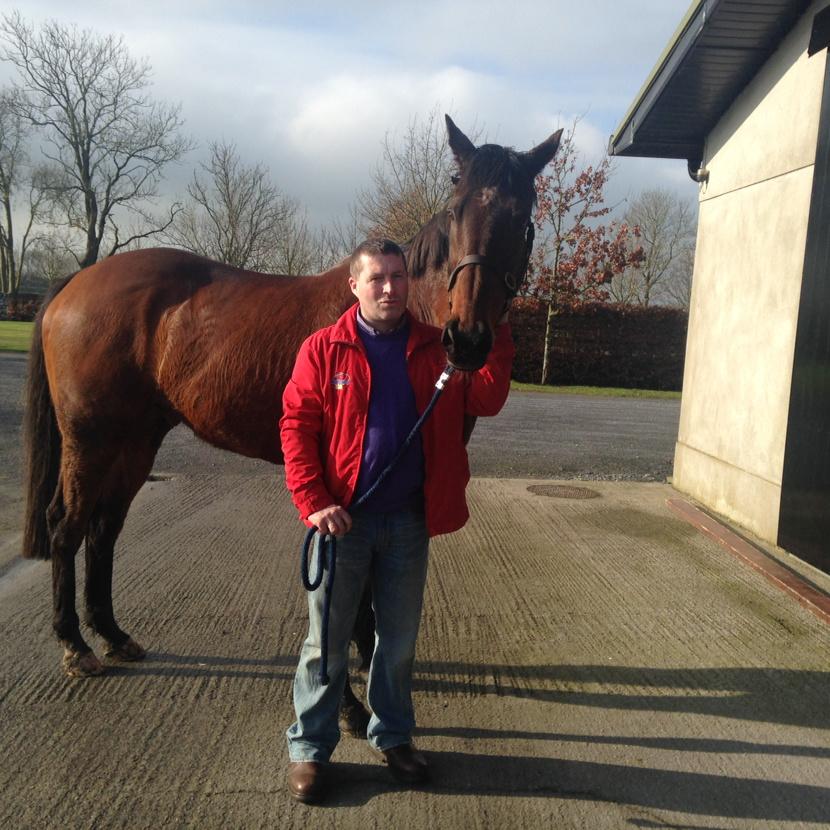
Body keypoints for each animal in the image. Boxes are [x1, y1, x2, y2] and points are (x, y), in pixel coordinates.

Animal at [21, 115, 564, 716]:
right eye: (455, 206)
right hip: (90, 440)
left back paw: (113, 636)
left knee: (104, 529)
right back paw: (74, 645)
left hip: (135, 441)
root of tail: (76, 282)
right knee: (67, 526)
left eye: (522, 217)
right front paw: (348, 699)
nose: (466, 339)